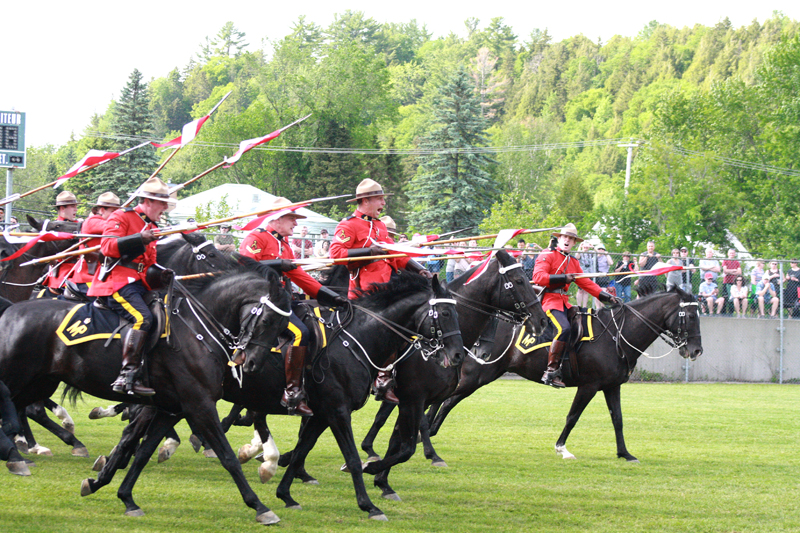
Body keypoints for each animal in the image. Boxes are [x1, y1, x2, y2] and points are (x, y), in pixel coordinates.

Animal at [0, 266, 292, 524]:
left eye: (283, 328)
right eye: (267, 320)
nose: (252, 363)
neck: (195, 332)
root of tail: (11, 311)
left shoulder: (170, 409)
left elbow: (141, 452)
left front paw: (123, 495)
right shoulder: (199, 406)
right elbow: (228, 457)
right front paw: (260, 507)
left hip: (38, 383)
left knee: (22, 411)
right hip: (19, 379)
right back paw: (21, 454)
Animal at [428, 286, 704, 462]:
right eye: (690, 315)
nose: (696, 350)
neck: (616, 335)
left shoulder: (612, 386)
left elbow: (618, 419)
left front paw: (625, 454)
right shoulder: (589, 386)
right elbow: (573, 417)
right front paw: (562, 448)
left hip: (484, 376)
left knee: (448, 400)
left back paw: (429, 432)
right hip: (476, 375)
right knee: (445, 399)